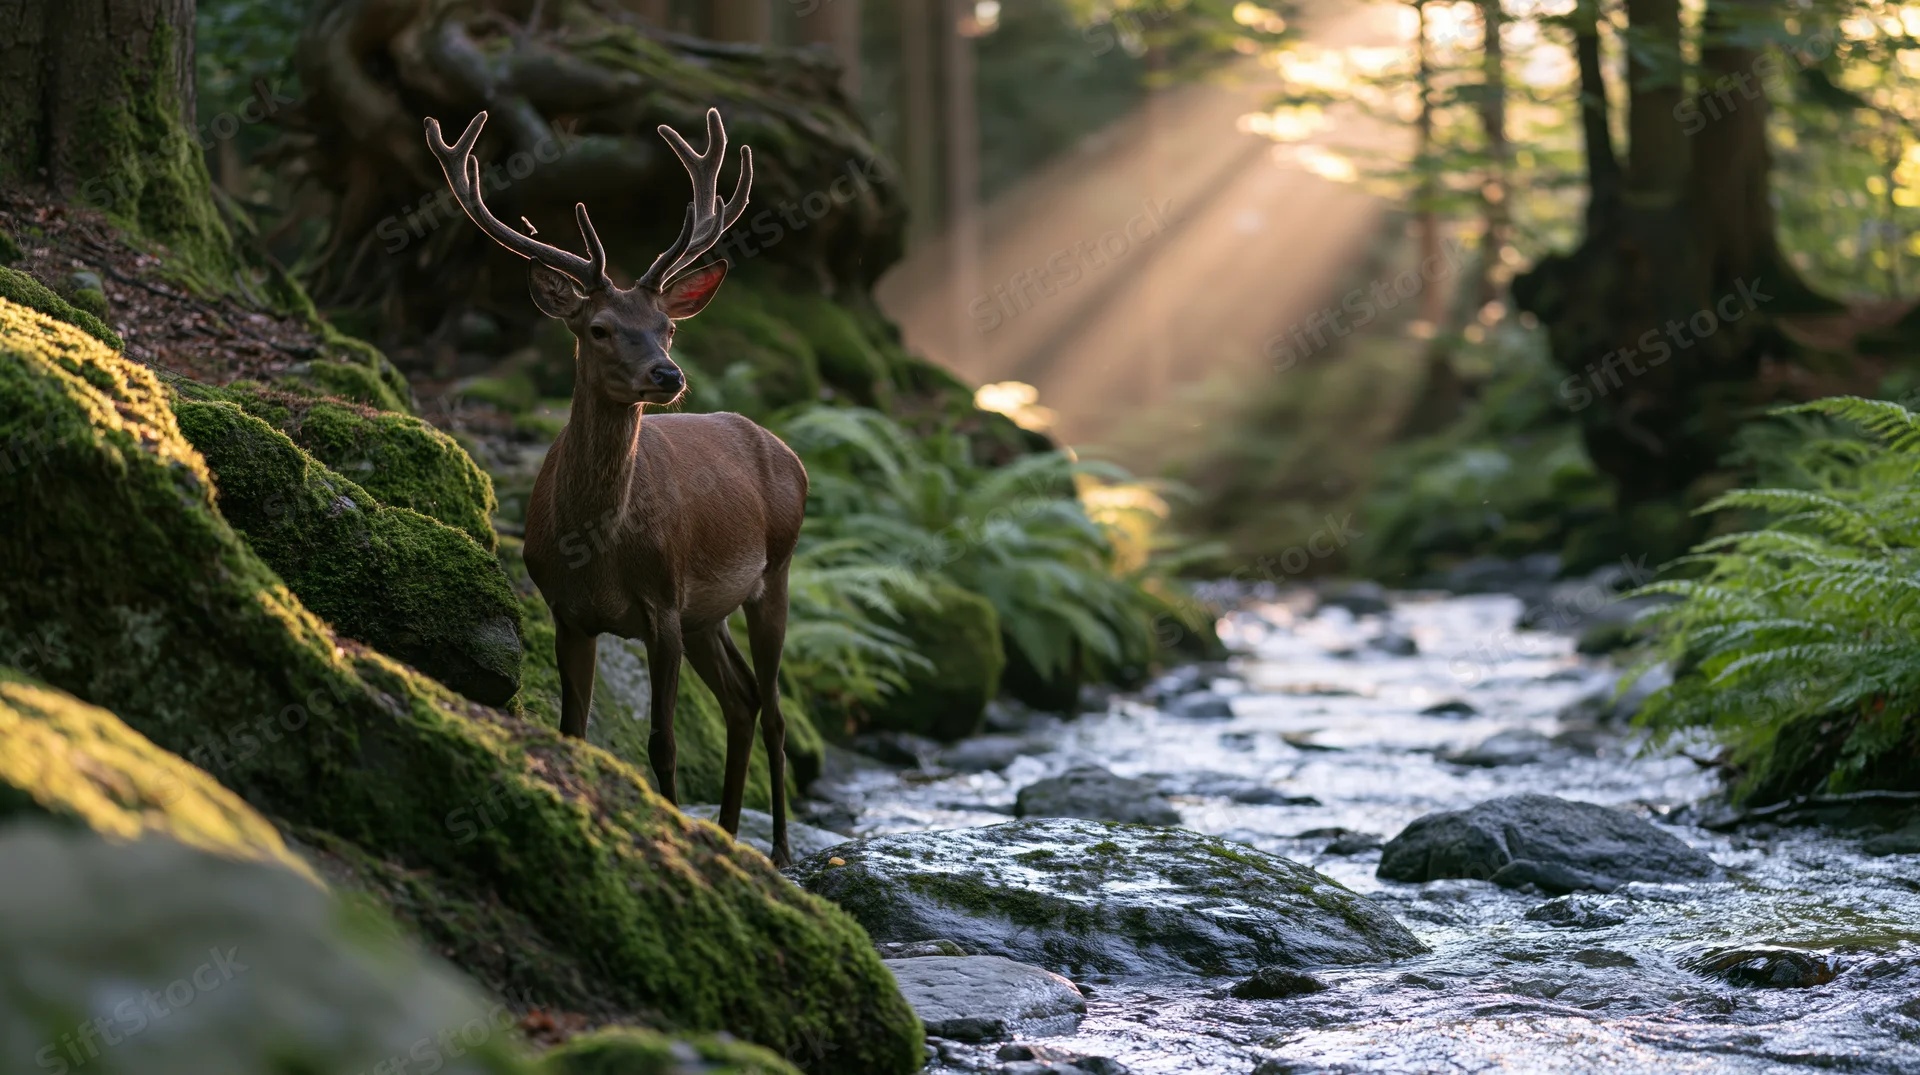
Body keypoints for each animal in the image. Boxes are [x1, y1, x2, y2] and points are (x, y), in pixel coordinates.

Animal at [425, 108, 808, 866]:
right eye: (599, 328)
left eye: (666, 328)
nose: (668, 374)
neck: (595, 548)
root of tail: (787, 453)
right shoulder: (567, 611)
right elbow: (573, 729)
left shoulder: (662, 603)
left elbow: (662, 743)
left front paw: (669, 831)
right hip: (708, 613)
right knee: (743, 700)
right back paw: (726, 832)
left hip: (772, 572)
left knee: (776, 710)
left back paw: (778, 852)